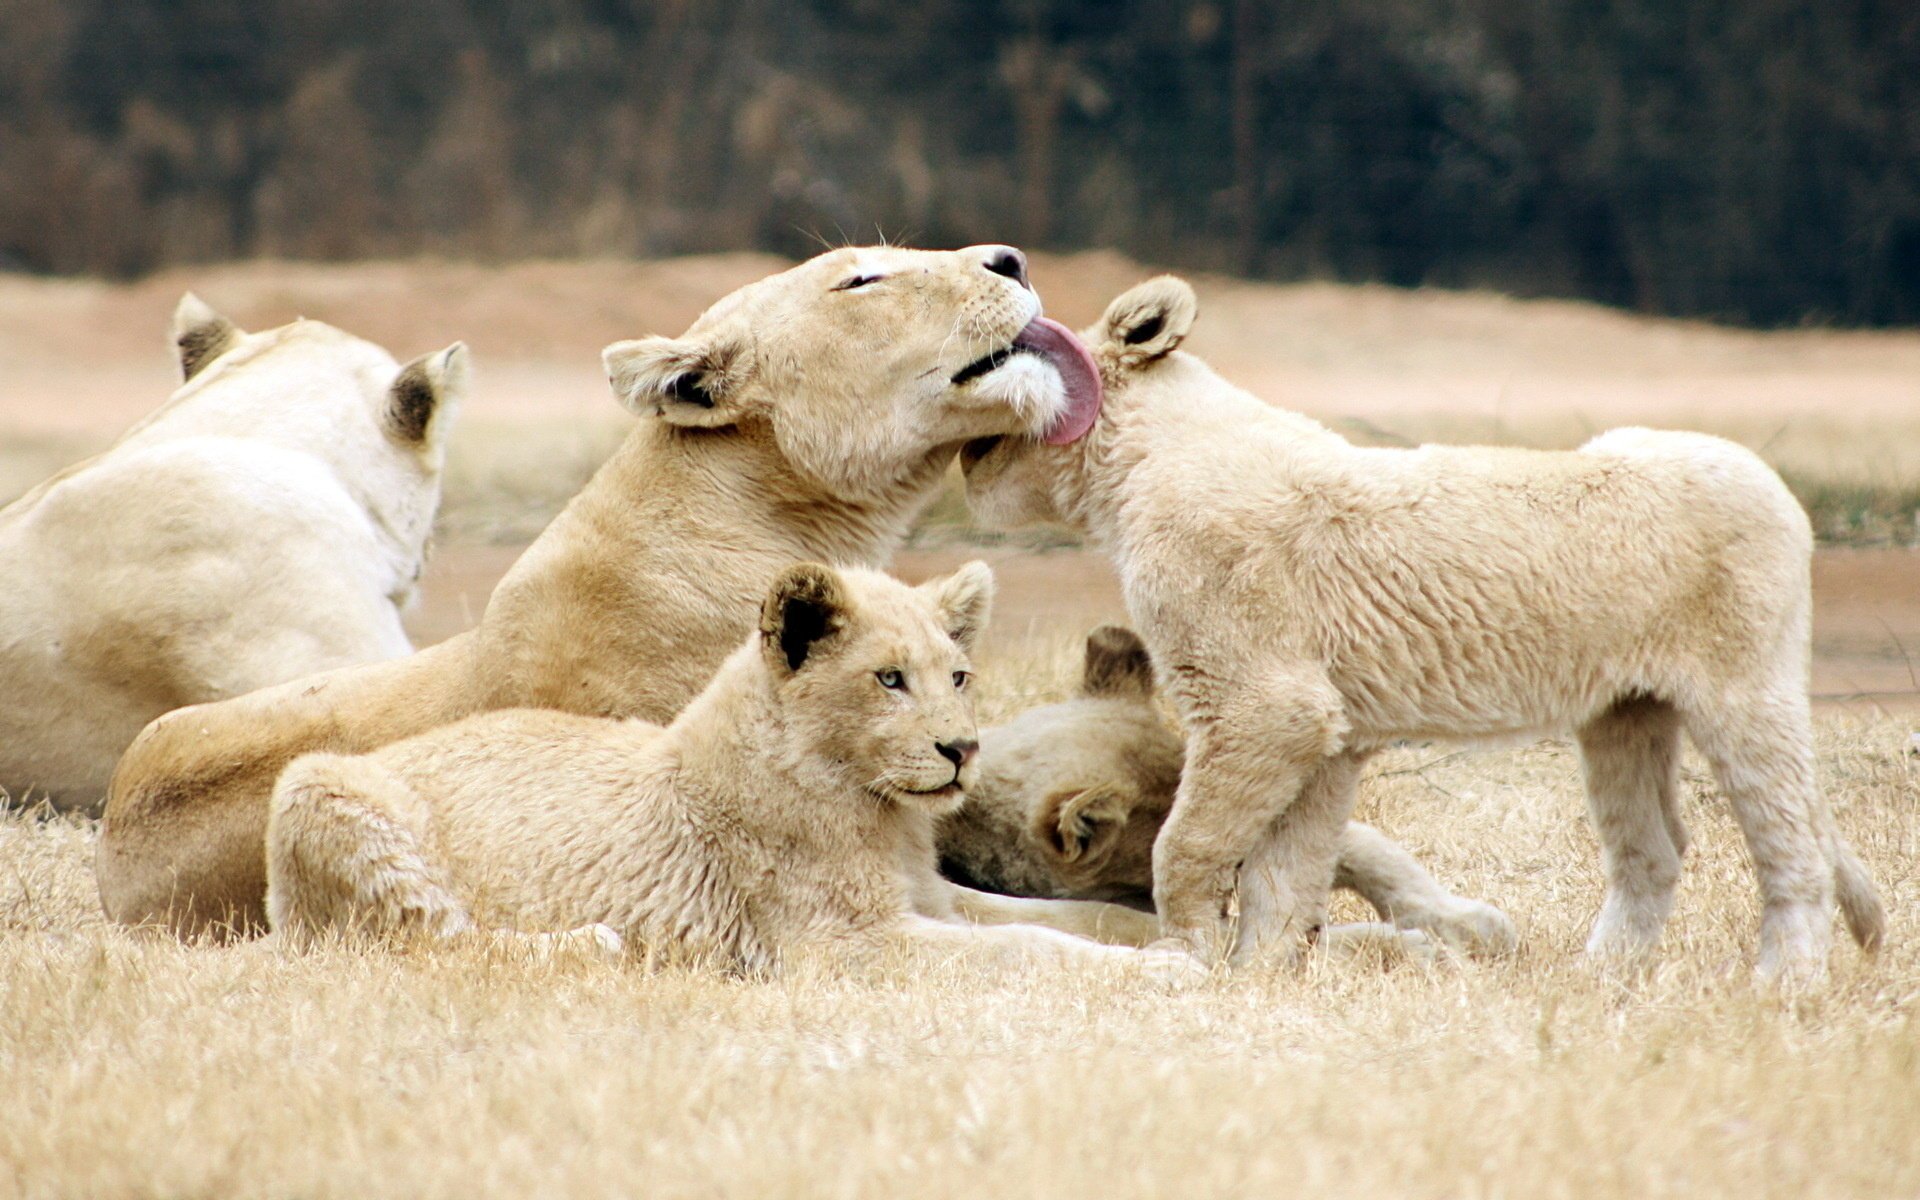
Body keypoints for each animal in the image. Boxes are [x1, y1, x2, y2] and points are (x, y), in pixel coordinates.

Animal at [267, 561, 1193, 975]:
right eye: (889, 679)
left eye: (958, 676)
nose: (962, 752)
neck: (881, 813)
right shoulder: (844, 945)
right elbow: (1027, 945)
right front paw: (1165, 968)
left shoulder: (928, 897)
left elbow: (1057, 916)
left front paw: (1161, 933)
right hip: (314, 784)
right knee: (422, 939)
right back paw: (591, 941)